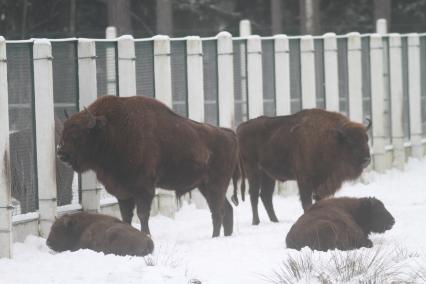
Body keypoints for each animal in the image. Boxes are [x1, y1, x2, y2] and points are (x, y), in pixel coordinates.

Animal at [56, 95, 240, 237]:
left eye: (77, 135)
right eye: (63, 131)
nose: (61, 153)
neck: (111, 132)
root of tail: (230, 134)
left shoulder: (144, 189)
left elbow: (142, 215)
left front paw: (146, 235)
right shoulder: (123, 193)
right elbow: (126, 217)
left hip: (215, 185)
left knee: (218, 211)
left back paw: (215, 237)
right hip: (205, 187)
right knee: (226, 209)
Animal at [235, 110, 372, 225]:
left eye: (366, 139)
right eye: (351, 141)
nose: (367, 160)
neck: (331, 140)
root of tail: (241, 127)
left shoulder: (320, 182)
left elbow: (318, 200)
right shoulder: (304, 179)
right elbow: (306, 202)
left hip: (268, 175)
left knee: (265, 196)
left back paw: (275, 221)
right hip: (253, 170)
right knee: (254, 195)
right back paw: (256, 222)